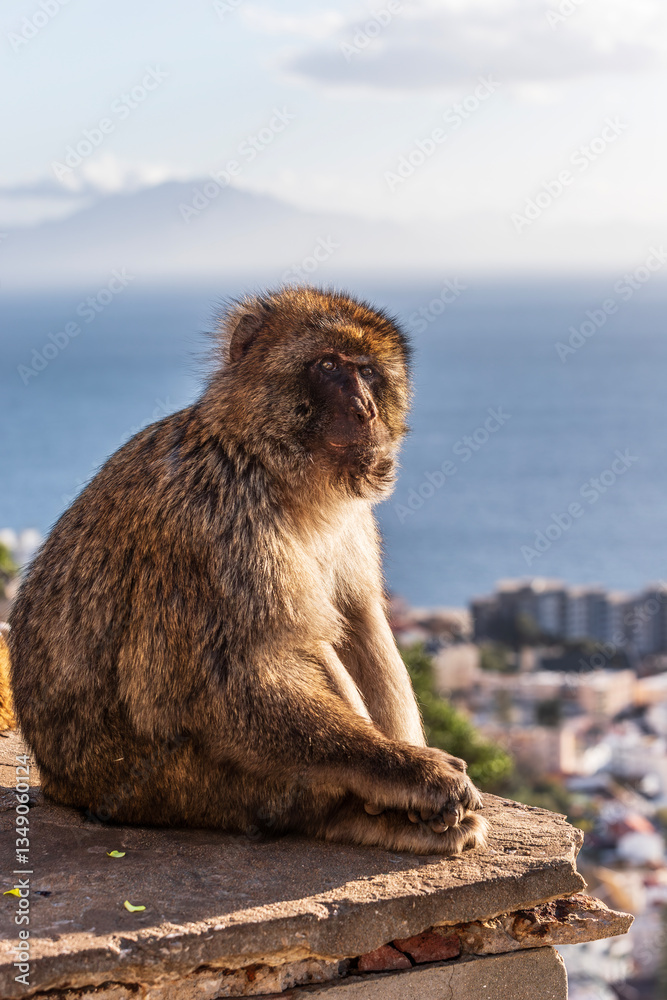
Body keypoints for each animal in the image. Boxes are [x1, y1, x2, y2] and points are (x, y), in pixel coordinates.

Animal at [9, 286, 487, 854]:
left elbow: (357, 616)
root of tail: (62, 784)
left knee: (356, 623)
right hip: (174, 784)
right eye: (328, 365)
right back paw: (357, 814)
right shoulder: (216, 517)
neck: (264, 460)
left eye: (368, 372)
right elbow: (231, 681)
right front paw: (411, 773)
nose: (364, 408)